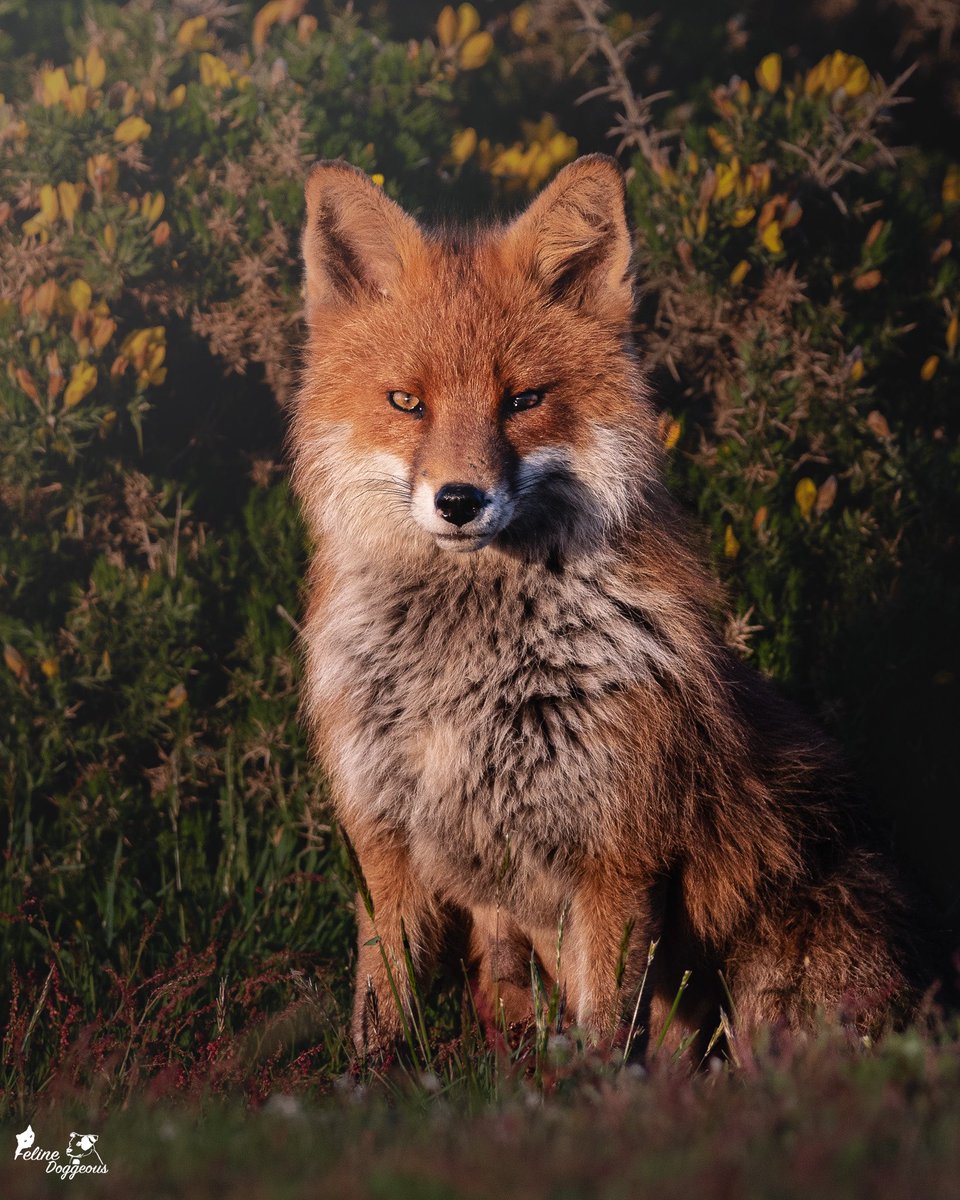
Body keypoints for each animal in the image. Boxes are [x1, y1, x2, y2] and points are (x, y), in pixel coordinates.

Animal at [291, 154, 920, 1060]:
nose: (459, 501)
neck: (465, 678)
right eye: (407, 402)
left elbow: (601, 1041)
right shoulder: (387, 847)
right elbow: (379, 1014)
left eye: (522, 400)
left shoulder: (617, 855)